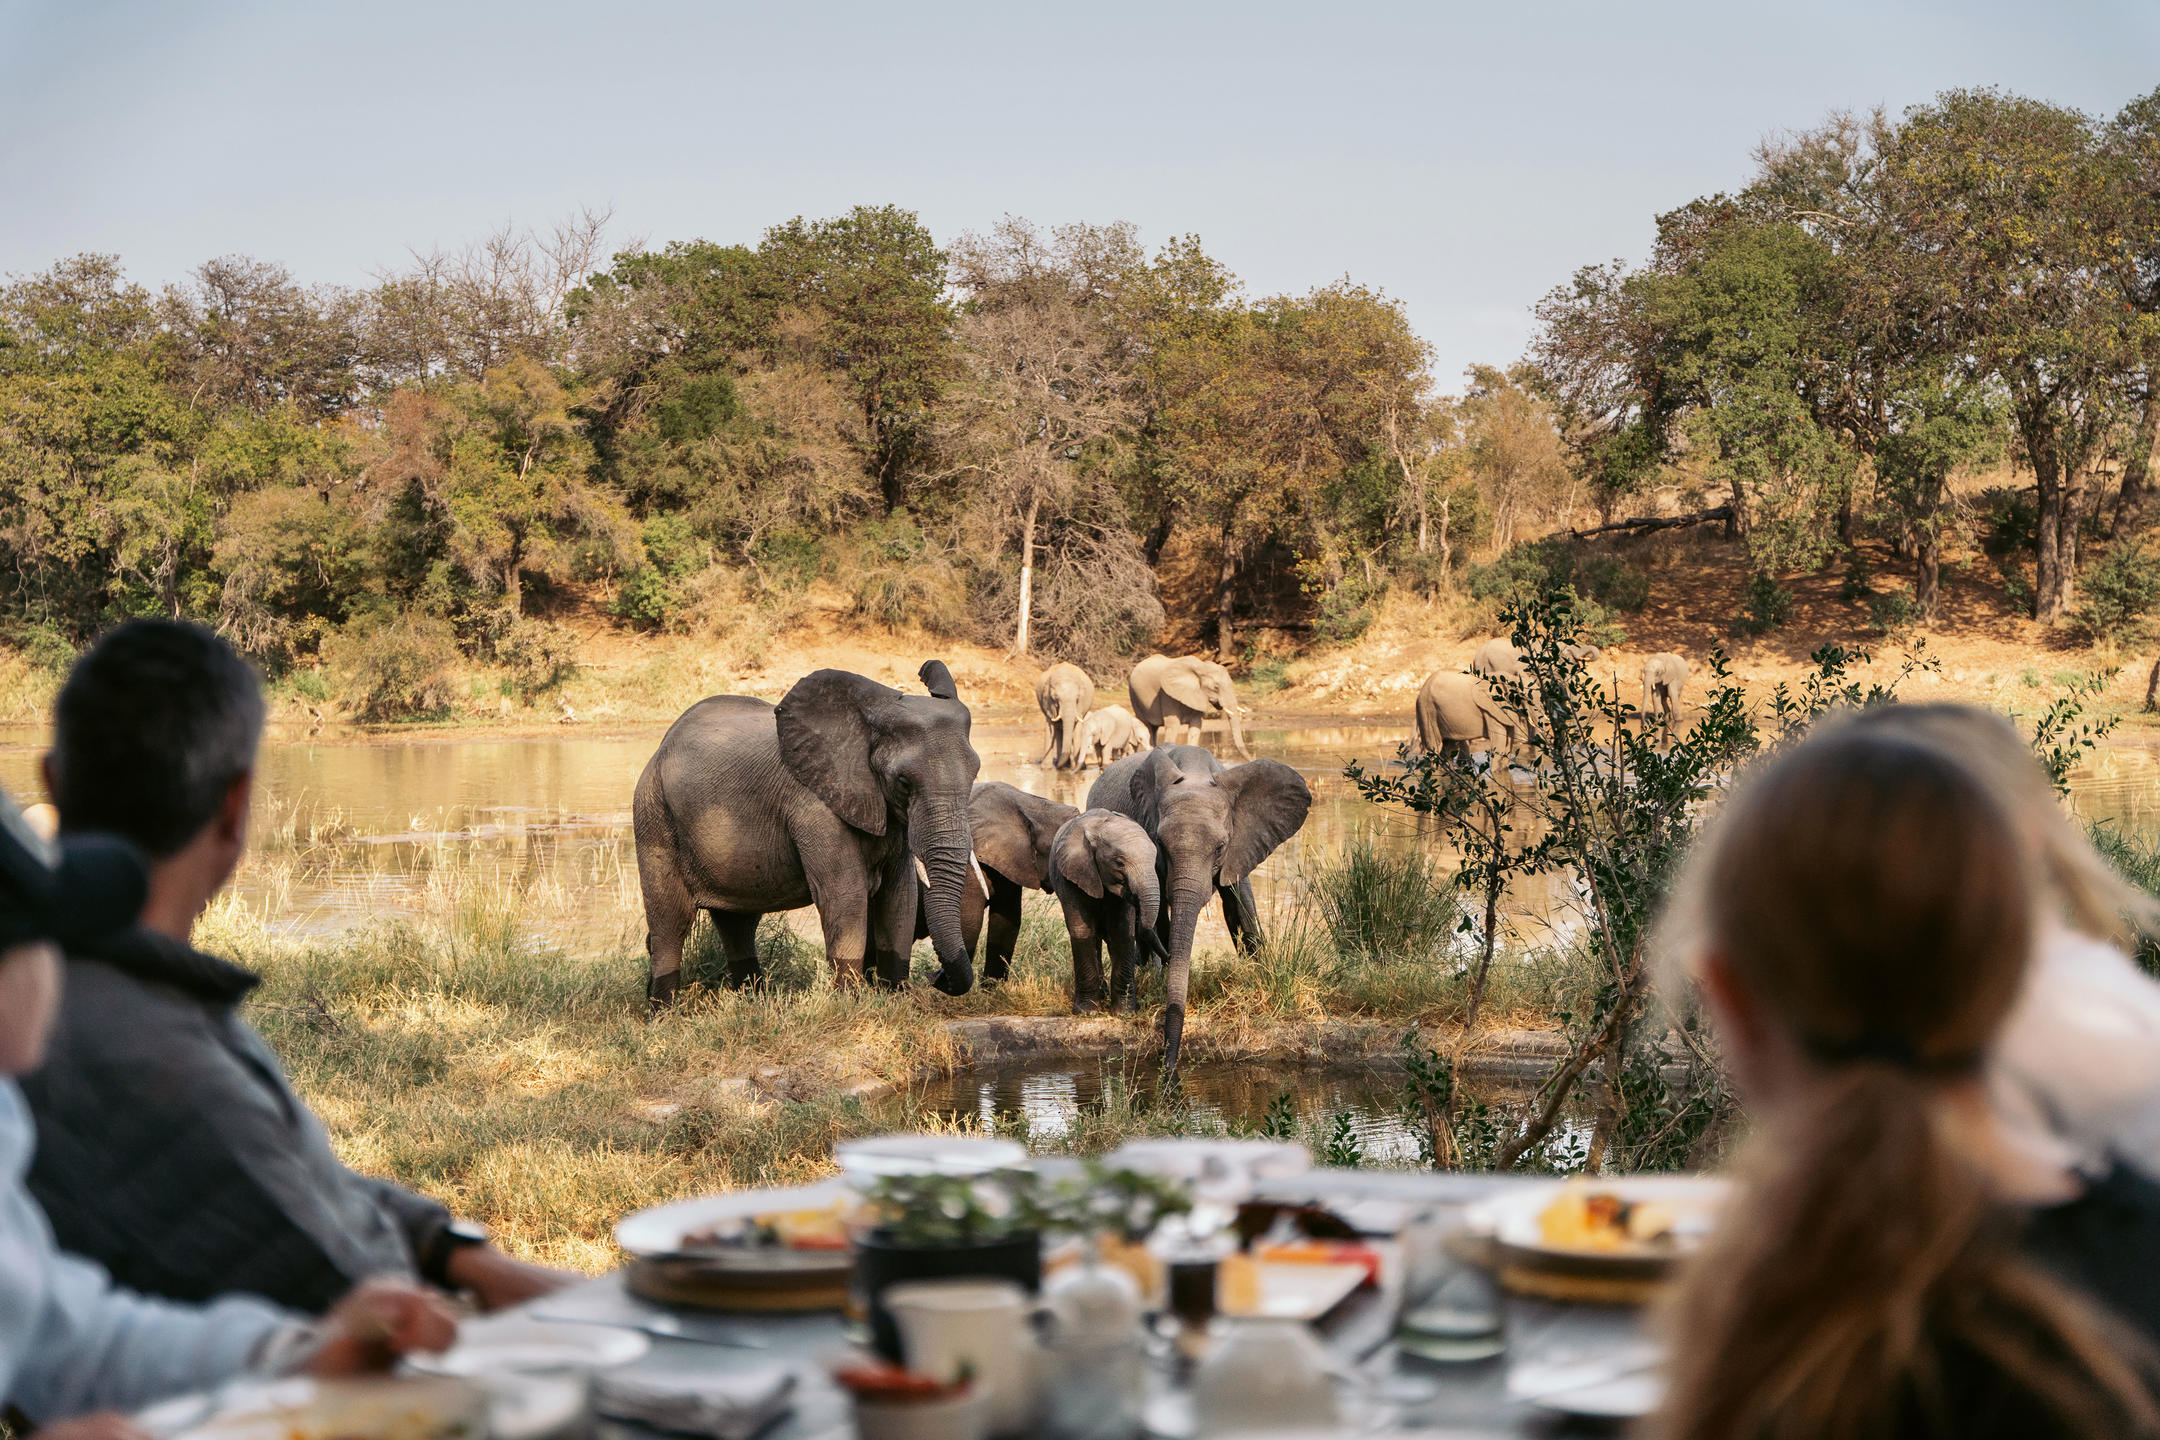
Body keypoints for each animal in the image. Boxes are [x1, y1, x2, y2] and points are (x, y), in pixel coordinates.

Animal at [630, 660, 984, 1010]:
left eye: (975, 773)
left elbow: (900, 894)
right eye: (904, 782)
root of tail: (661, 747)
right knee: (670, 922)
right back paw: (664, 1013)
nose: (937, 977)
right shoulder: (814, 806)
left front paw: (897, 1000)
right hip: (653, 813)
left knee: (737, 922)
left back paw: (752, 1001)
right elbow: (845, 894)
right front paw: (848, 1005)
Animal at [1045, 811, 1166, 1014]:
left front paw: (1125, 1012)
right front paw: (1087, 1012)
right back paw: (1100, 996)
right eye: (1119, 862)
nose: (1169, 958)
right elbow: (1081, 931)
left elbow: (1122, 932)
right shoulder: (1071, 875)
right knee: (1093, 937)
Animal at [1088, 742, 1304, 1070]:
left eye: (1220, 847)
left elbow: (1240, 903)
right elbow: (1162, 913)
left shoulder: (1242, 841)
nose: (1168, 1069)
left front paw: (1259, 972)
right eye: (1160, 844)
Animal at [1123, 656, 1261, 759]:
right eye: (1216, 687)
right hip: (1134, 696)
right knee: (1147, 727)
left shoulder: (1198, 695)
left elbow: (1196, 725)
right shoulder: (1167, 694)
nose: (1253, 758)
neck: (1200, 667)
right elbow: (1173, 725)